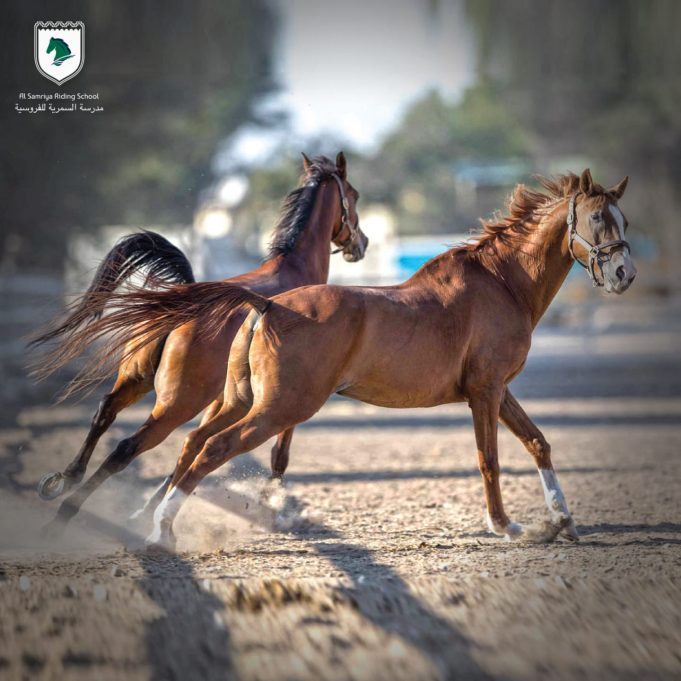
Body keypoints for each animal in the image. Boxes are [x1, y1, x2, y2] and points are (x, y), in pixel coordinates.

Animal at [32, 152, 368, 533]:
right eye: (354, 195)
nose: (361, 244)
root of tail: (178, 309)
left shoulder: (225, 398)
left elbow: (193, 447)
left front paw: (149, 510)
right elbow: (275, 452)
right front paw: (275, 504)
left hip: (137, 380)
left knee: (104, 414)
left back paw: (64, 481)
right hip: (177, 404)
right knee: (126, 448)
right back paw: (65, 513)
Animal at [134, 168, 635, 551]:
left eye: (623, 219)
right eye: (595, 218)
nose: (624, 274)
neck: (502, 282)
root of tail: (268, 306)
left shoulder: (499, 390)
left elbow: (538, 443)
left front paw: (563, 521)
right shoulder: (485, 392)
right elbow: (488, 459)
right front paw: (507, 526)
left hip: (241, 400)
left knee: (192, 442)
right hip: (279, 408)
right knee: (212, 448)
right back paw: (161, 530)